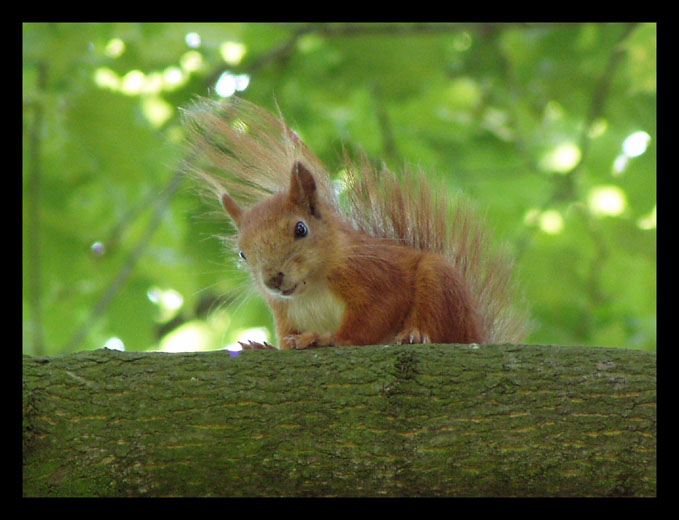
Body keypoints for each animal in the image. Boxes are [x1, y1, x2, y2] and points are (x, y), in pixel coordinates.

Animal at [183, 97, 528, 350]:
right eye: (242, 253)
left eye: (300, 229)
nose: (272, 279)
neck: (312, 288)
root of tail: (478, 333)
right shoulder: (284, 313)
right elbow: (286, 337)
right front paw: (267, 346)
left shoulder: (375, 275)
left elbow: (374, 317)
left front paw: (328, 339)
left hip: (441, 284)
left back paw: (414, 334)